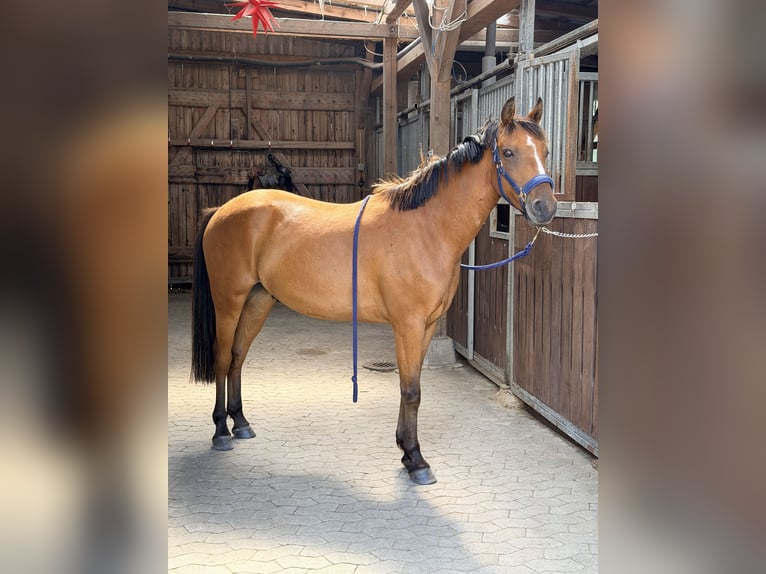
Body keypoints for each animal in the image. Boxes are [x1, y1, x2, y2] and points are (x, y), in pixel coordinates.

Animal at [191, 96, 557, 485]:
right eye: (509, 151)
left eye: (545, 150)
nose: (545, 207)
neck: (426, 228)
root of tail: (221, 210)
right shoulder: (408, 325)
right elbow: (411, 390)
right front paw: (417, 460)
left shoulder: (426, 327)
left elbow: (411, 385)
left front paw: (406, 453)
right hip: (228, 301)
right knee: (221, 356)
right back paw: (220, 431)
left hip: (258, 300)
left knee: (238, 356)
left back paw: (240, 423)